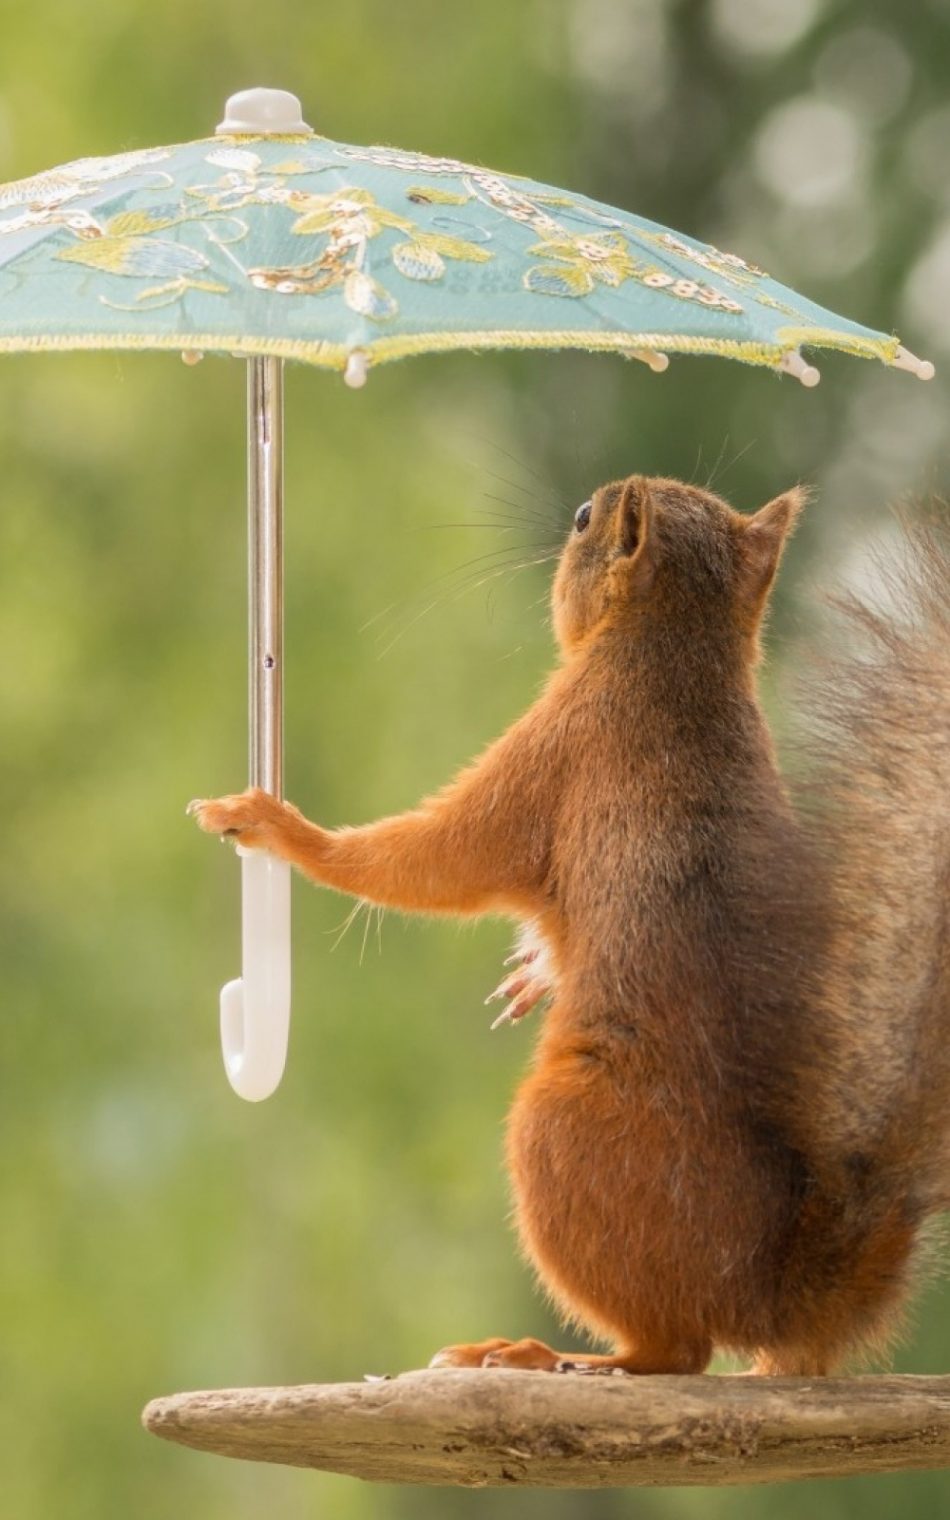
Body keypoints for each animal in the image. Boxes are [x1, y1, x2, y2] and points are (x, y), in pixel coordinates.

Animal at [186, 474, 948, 1380]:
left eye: (587, 519)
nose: (571, 517)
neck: (676, 650)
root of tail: (776, 1296)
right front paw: (533, 976)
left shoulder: (562, 740)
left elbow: (441, 856)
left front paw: (281, 828)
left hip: (563, 1130)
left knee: (679, 1350)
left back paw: (546, 1354)